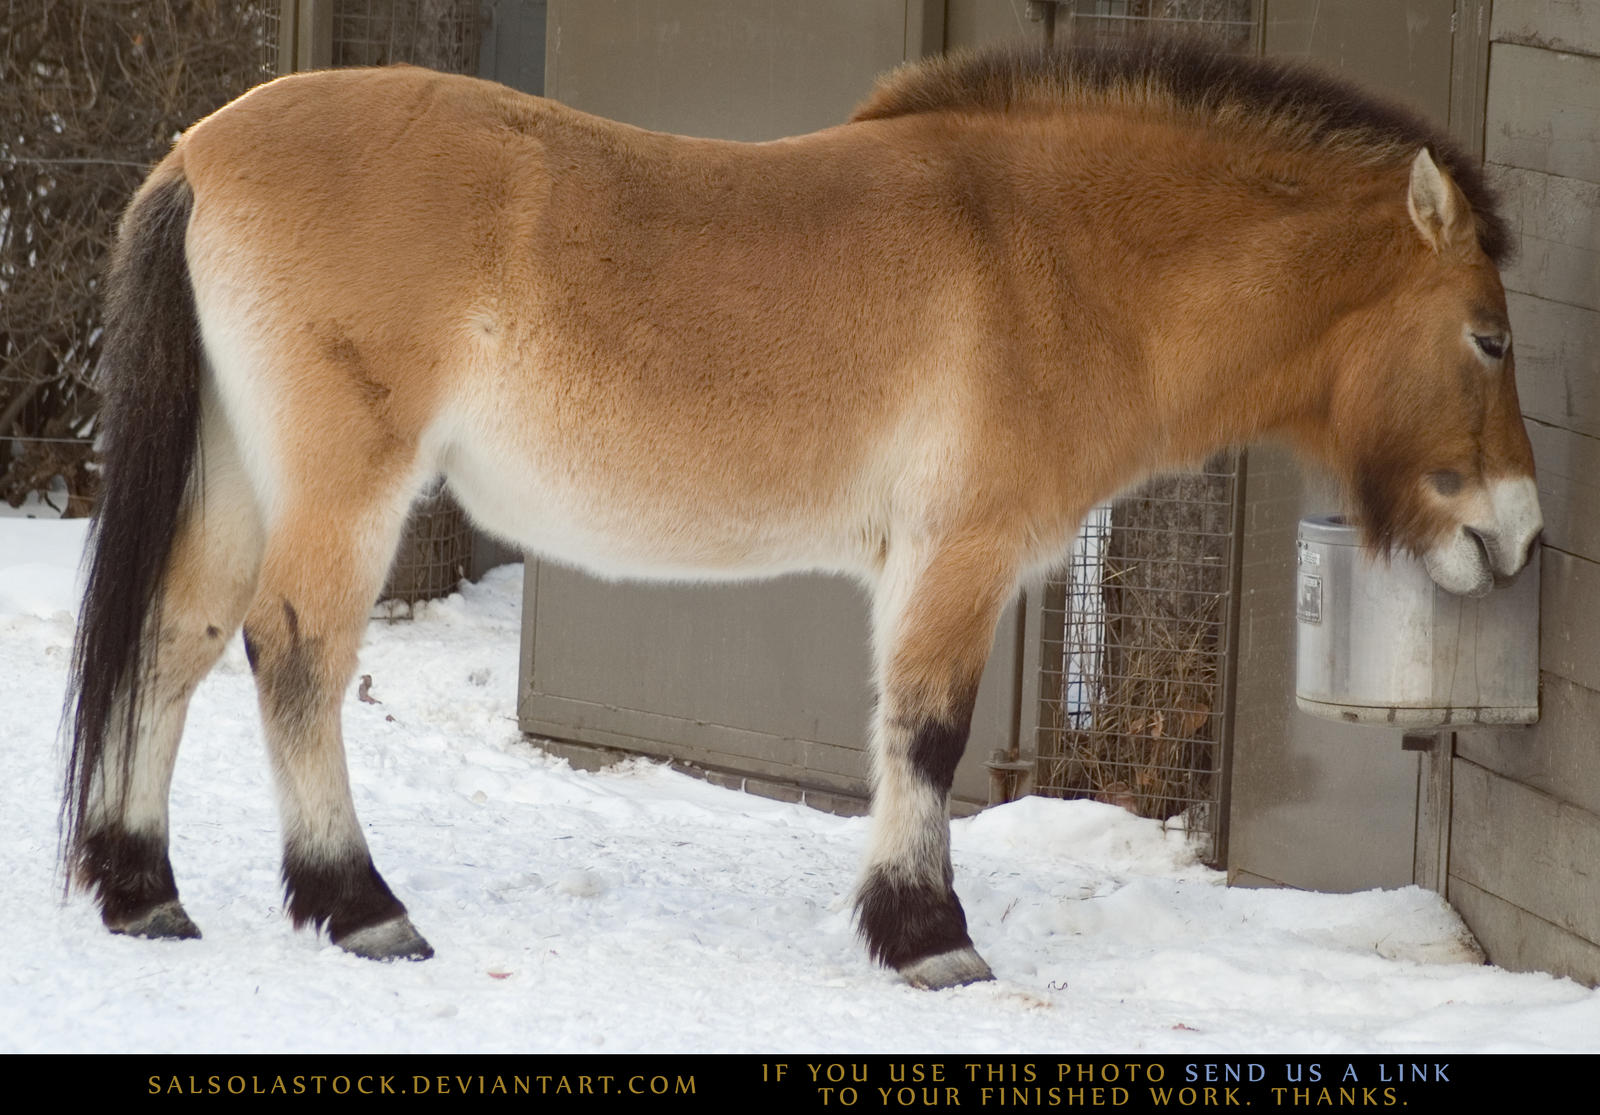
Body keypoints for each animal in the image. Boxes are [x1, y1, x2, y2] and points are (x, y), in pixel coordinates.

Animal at [63, 38, 1540, 990]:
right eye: (1487, 337)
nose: (1520, 532)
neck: (1050, 256)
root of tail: (202, 149)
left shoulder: (921, 564)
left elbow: (898, 731)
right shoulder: (961, 553)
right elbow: (929, 733)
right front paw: (930, 935)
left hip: (236, 474)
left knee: (175, 639)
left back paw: (142, 890)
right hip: (340, 488)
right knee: (294, 654)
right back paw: (359, 904)